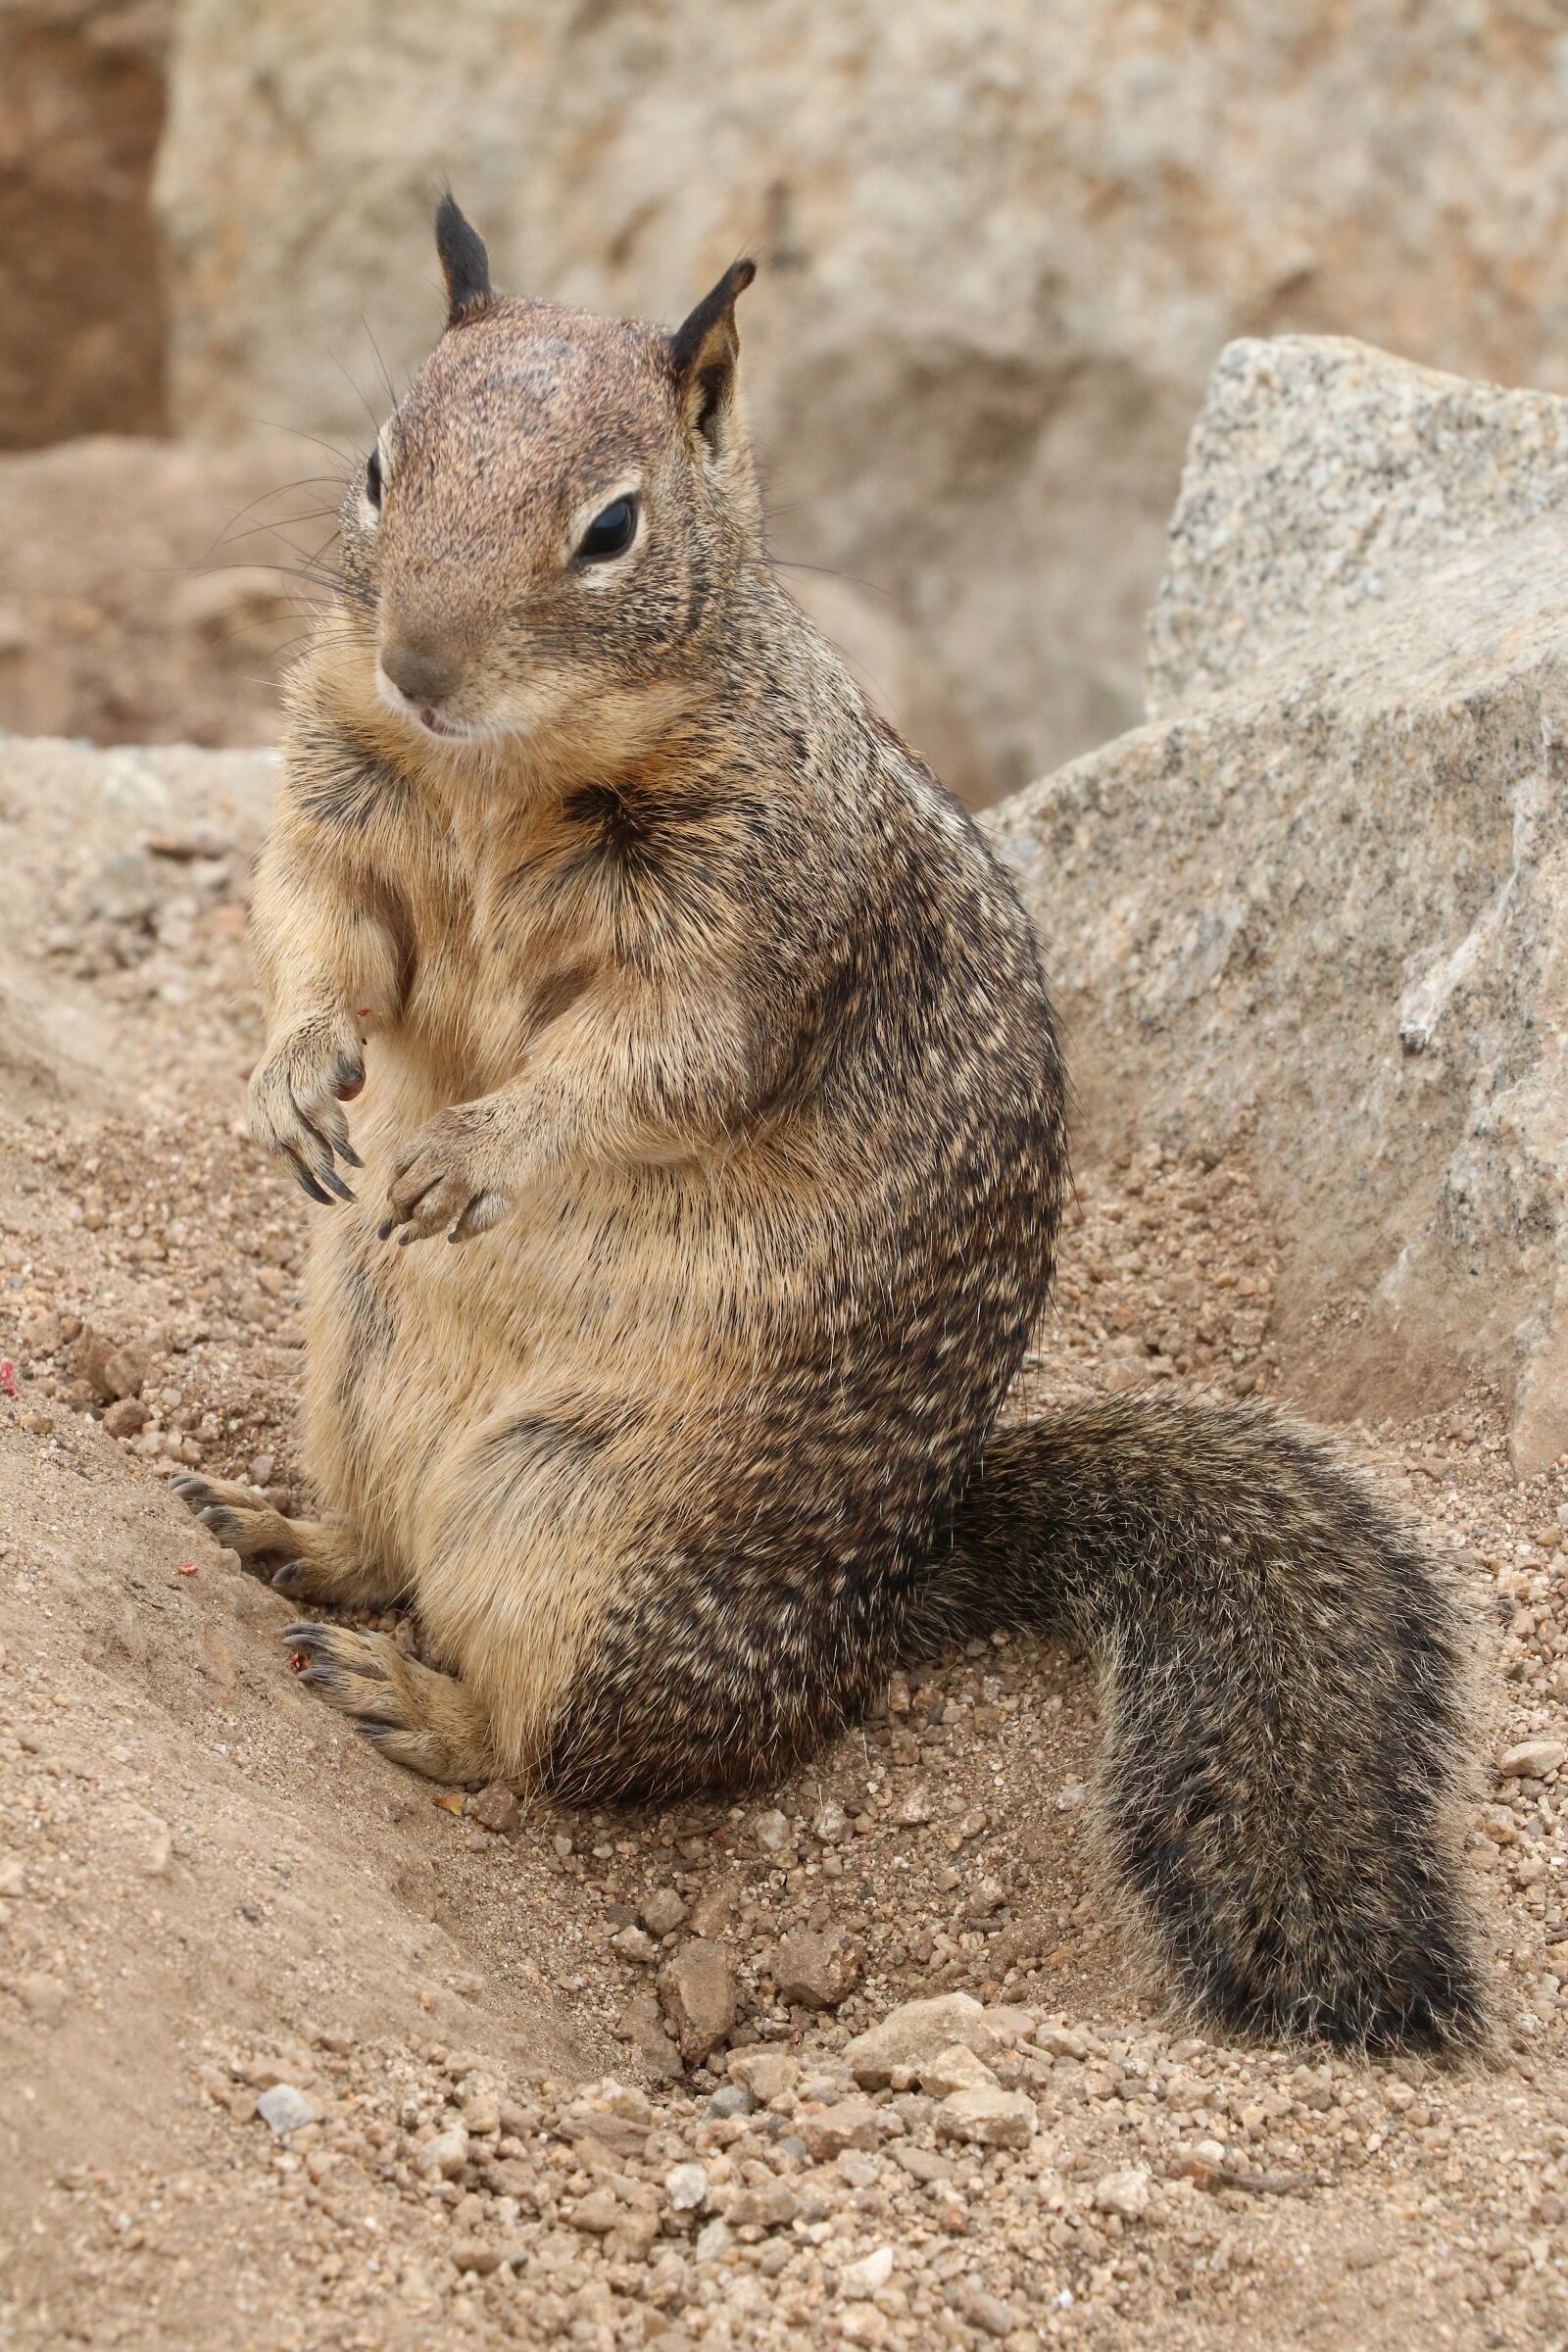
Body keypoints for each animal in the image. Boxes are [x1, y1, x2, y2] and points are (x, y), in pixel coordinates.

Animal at [175, 196, 1483, 2053]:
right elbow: (314, 932)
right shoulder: (340, 789)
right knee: (382, 1549)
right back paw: (288, 1535)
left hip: (581, 1548)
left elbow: (647, 1066)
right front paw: (292, 1082)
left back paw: (418, 1703)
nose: (418, 664)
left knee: (558, 1745)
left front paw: (470, 1153)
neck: (499, 769)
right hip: (352, 1371)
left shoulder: (752, 918)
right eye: (375, 464)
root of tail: (889, 1596)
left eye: (613, 527)